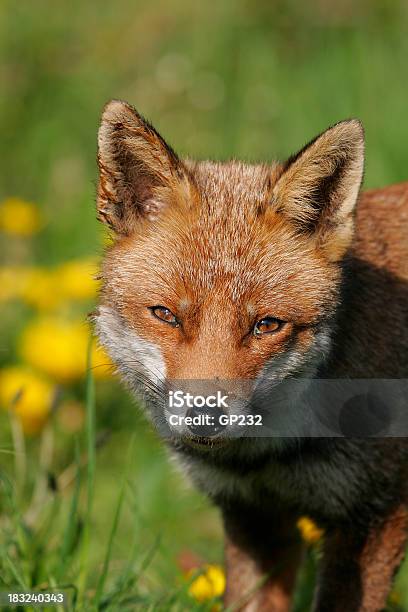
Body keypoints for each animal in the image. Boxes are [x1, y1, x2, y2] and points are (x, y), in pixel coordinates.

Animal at [95, 100, 408, 612]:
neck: (270, 456)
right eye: (166, 315)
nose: (206, 418)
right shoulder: (255, 514)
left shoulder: (373, 518)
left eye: (266, 325)